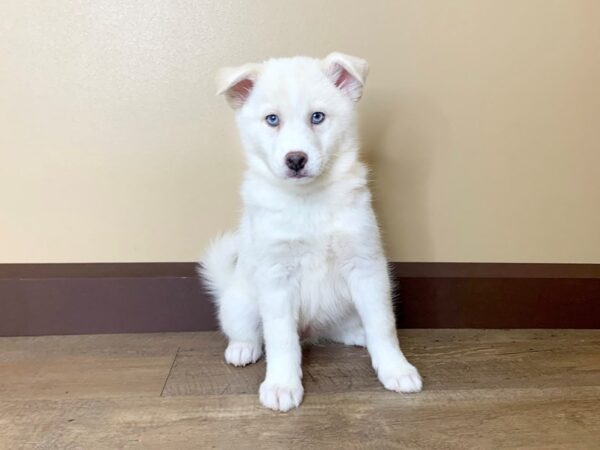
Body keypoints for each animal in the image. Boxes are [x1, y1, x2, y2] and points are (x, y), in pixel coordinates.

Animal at [202, 52, 422, 412]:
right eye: (272, 119)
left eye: (317, 117)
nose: (296, 159)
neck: (308, 199)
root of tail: (310, 331)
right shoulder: (276, 276)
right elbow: (281, 339)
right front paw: (282, 385)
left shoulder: (367, 266)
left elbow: (383, 325)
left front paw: (395, 369)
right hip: (242, 302)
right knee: (249, 330)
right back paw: (242, 348)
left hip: (346, 303)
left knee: (345, 327)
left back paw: (357, 335)